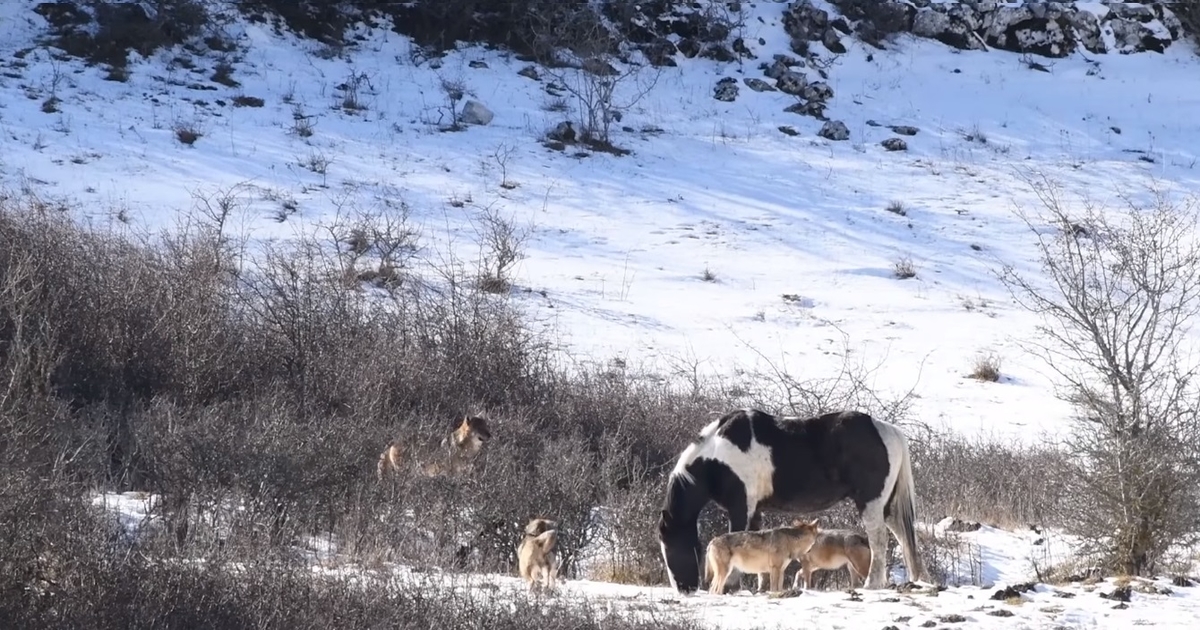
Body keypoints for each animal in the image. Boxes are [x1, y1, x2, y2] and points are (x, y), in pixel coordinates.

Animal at [657, 408, 924, 593]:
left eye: (670, 546)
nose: (684, 589)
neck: (717, 454)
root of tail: (887, 430)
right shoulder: (756, 509)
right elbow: (756, 540)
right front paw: (762, 587)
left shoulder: (741, 507)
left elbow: (737, 536)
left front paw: (733, 586)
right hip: (887, 506)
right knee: (903, 537)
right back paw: (916, 580)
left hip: (871, 503)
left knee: (879, 540)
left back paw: (872, 584)